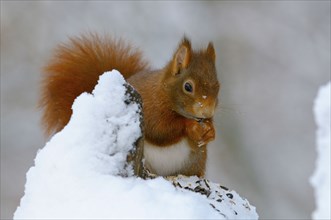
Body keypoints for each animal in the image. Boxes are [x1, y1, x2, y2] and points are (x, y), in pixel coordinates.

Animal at [39, 34, 220, 177]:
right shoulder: (150, 107)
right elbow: (161, 130)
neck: (163, 92)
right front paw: (191, 126)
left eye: (218, 86)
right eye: (188, 87)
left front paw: (210, 131)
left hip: (194, 162)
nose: (207, 112)